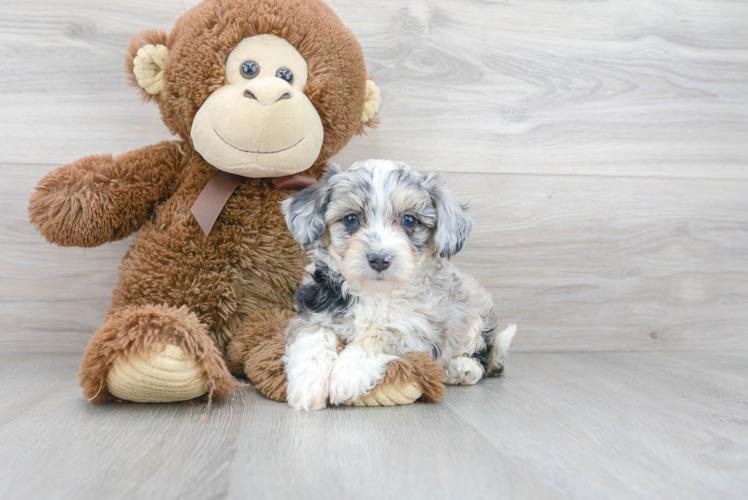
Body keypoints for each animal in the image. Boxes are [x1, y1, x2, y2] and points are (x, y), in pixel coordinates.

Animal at [280, 160, 516, 410]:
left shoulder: (421, 331)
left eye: (409, 220)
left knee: (481, 356)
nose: (379, 259)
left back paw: (462, 368)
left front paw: (348, 374)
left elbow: (382, 333)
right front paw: (307, 383)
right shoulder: (312, 313)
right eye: (351, 219)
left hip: (474, 312)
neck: (375, 292)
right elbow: (314, 337)